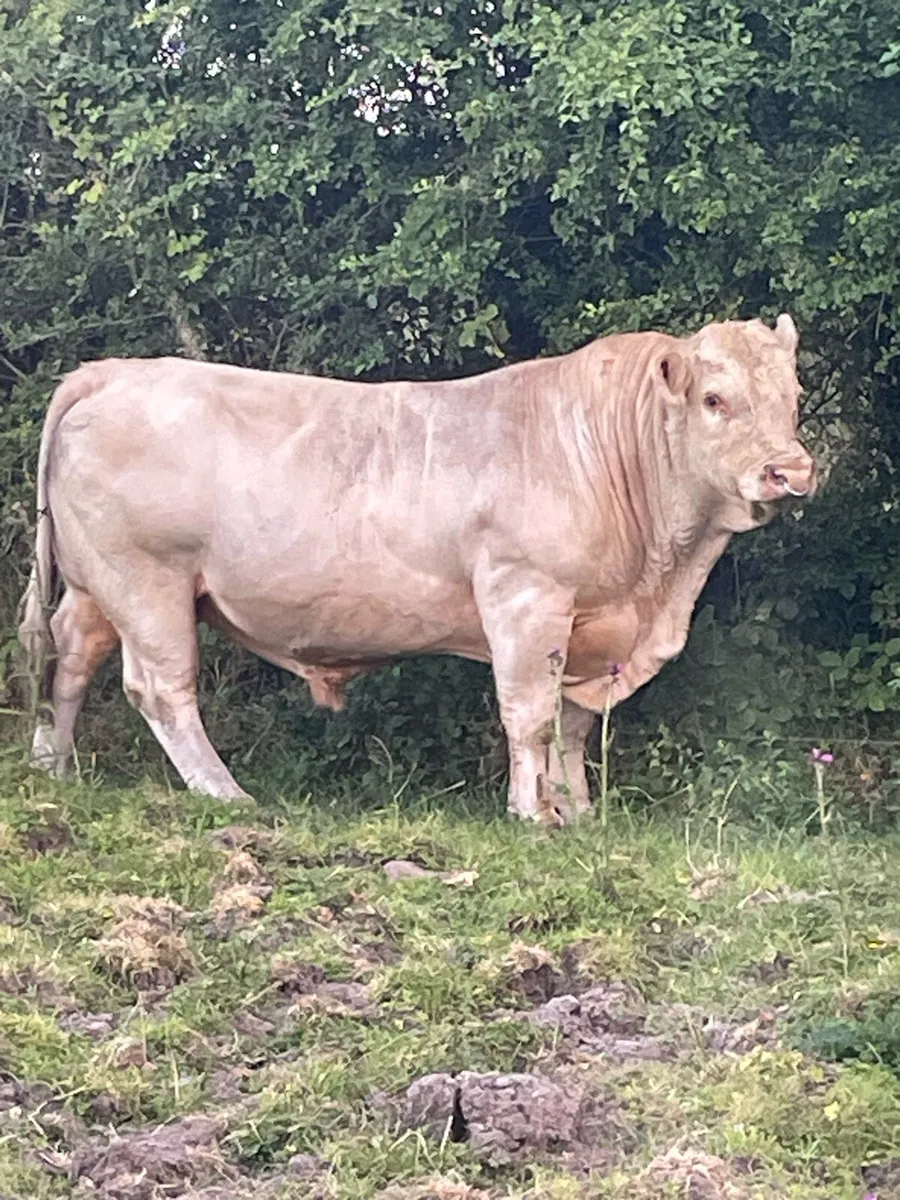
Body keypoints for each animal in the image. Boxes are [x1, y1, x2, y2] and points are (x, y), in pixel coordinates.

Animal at [18, 315, 816, 824]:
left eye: (795, 398)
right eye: (715, 399)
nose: (792, 470)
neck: (658, 581)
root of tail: (112, 372)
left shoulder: (594, 624)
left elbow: (573, 724)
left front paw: (580, 811)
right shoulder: (526, 597)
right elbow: (530, 715)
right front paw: (534, 814)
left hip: (97, 586)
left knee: (70, 658)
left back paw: (54, 766)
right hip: (147, 580)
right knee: (161, 688)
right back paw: (224, 792)